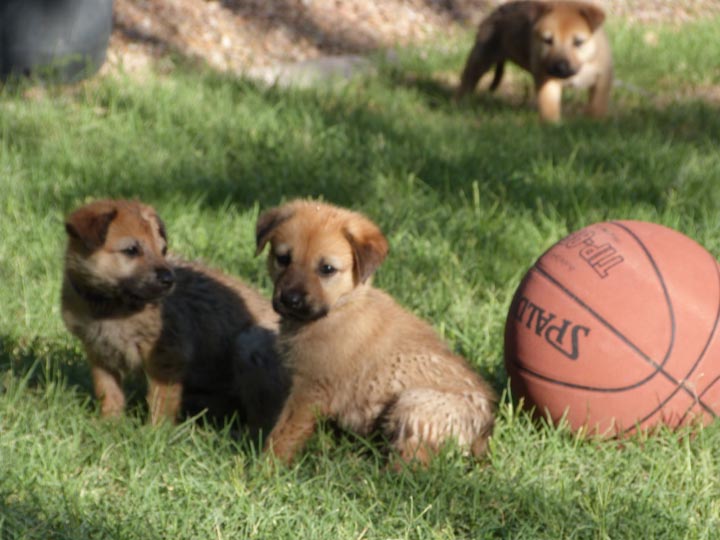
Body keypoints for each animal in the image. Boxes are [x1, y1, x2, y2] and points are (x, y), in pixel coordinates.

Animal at [61, 199, 286, 434]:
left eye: (162, 250)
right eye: (131, 250)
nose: (169, 279)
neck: (112, 307)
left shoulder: (167, 356)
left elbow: (160, 400)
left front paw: (156, 433)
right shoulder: (99, 354)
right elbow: (108, 393)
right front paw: (109, 424)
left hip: (250, 345)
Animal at [253, 200, 496, 466]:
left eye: (327, 269)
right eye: (283, 259)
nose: (290, 300)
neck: (340, 308)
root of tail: (483, 435)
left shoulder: (310, 389)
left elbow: (284, 433)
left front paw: (265, 467)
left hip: (413, 404)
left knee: (414, 463)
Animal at [458, 0, 612, 122]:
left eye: (578, 42)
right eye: (548, 40)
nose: (560, 67)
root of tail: (498, 10)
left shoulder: (602, 79)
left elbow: (597, 105)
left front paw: (594, 123)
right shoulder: (547, 78)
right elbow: (549, 105)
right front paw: (552, 126)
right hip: (482, 56)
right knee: (468, 78)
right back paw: (461, 102)